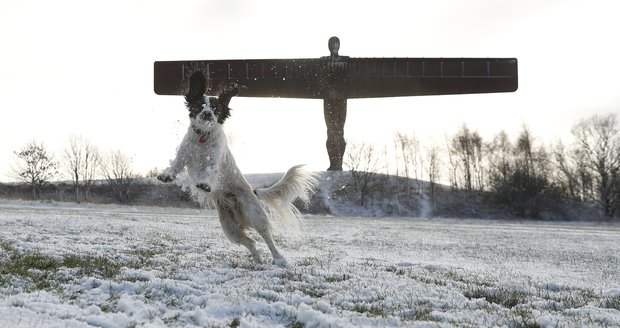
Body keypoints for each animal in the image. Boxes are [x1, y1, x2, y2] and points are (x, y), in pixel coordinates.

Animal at [157, 71, 318, 264]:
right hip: (229, 227)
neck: (203, 137)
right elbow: (176, 164)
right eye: (199, 105)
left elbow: (209, 171)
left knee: (266, 236)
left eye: (216, 109)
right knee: (250, 242)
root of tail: (253, 192)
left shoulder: (214, 161)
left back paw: (278, 258)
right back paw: (258, 261)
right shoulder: (184, 154)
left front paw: (204, 184)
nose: (207, 113)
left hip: (253, 213)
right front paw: (167, 176)